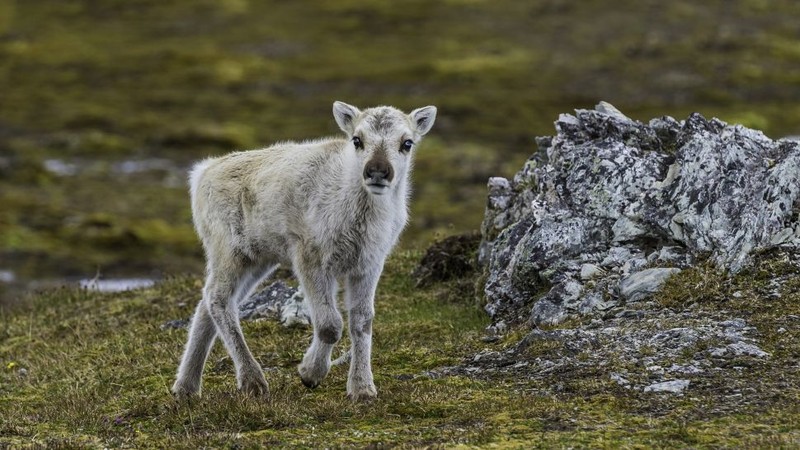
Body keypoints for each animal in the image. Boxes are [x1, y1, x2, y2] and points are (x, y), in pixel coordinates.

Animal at [170, 101, 438, 400]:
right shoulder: (310, 257)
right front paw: (310, 373)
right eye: (357, 140)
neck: (360, 216)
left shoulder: (369, 263)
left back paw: (186, 387)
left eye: (407, 143)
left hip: (258, 258)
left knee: (207, 302)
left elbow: (362, 321)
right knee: (217, 299)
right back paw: (252, 380)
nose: (378, 171)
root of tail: (201, 173)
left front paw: (363, 388)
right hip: (229, 250)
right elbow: (330, 324)